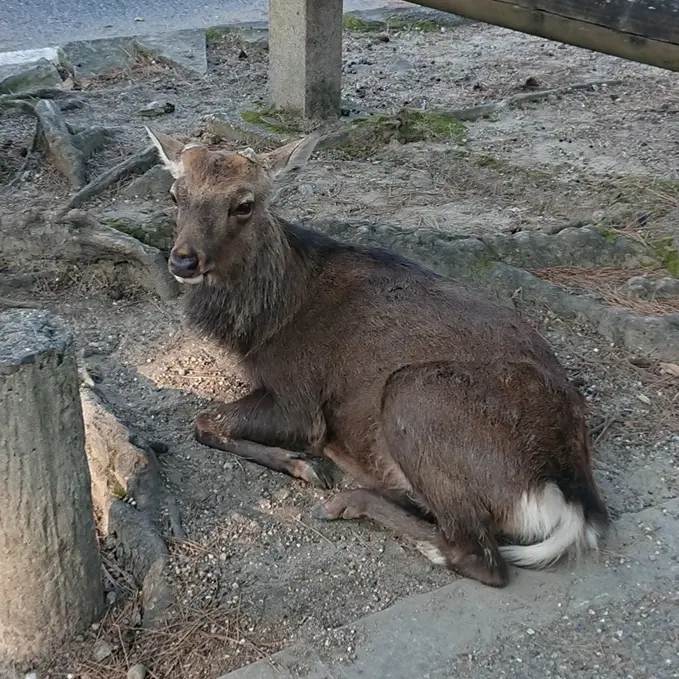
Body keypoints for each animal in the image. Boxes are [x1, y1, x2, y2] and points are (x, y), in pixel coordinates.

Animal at [146, 126, 609, 588]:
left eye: (244, 204)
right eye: (175, 194)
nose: (183, 260)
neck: (264, 325)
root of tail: (570, 494)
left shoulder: (299, 397)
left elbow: (204, 421)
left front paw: (304, 465)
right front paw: (303, 463)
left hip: (416, 394)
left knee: (478, 555)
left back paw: (346, 500)